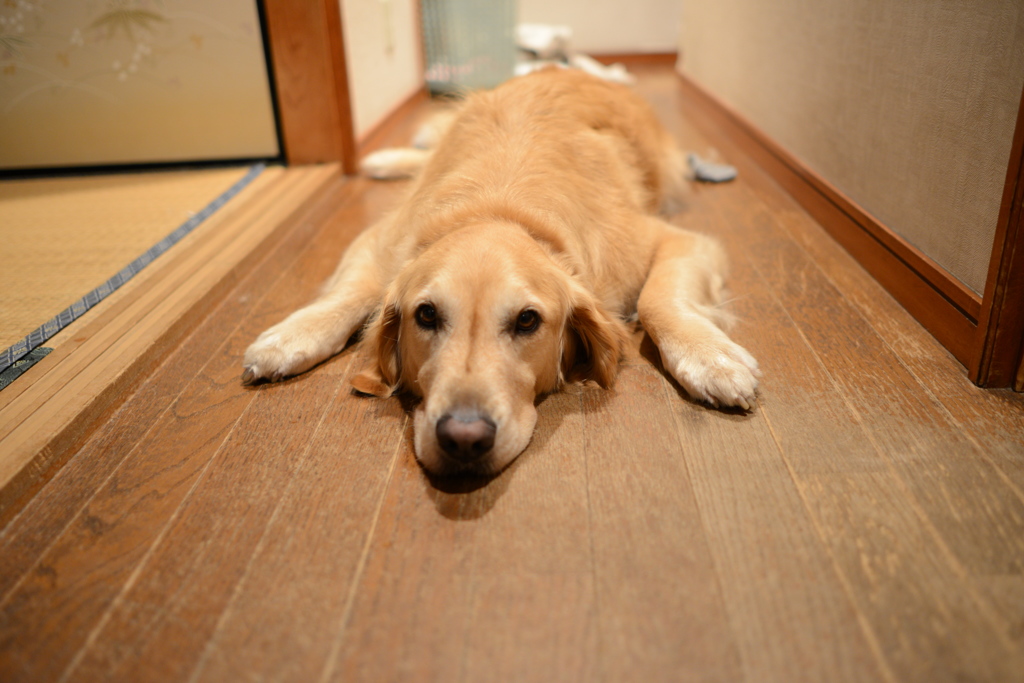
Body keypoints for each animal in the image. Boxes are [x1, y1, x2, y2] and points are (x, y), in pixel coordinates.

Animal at [243, 68, 761, 475]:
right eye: (425, 315)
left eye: (528, 321)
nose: (463, 439)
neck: (497, 208)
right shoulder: (382, 239)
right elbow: (347, 293)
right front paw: (288, 339)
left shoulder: (670, 239)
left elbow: (659, 298)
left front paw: (711, 359)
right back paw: (385, 159)